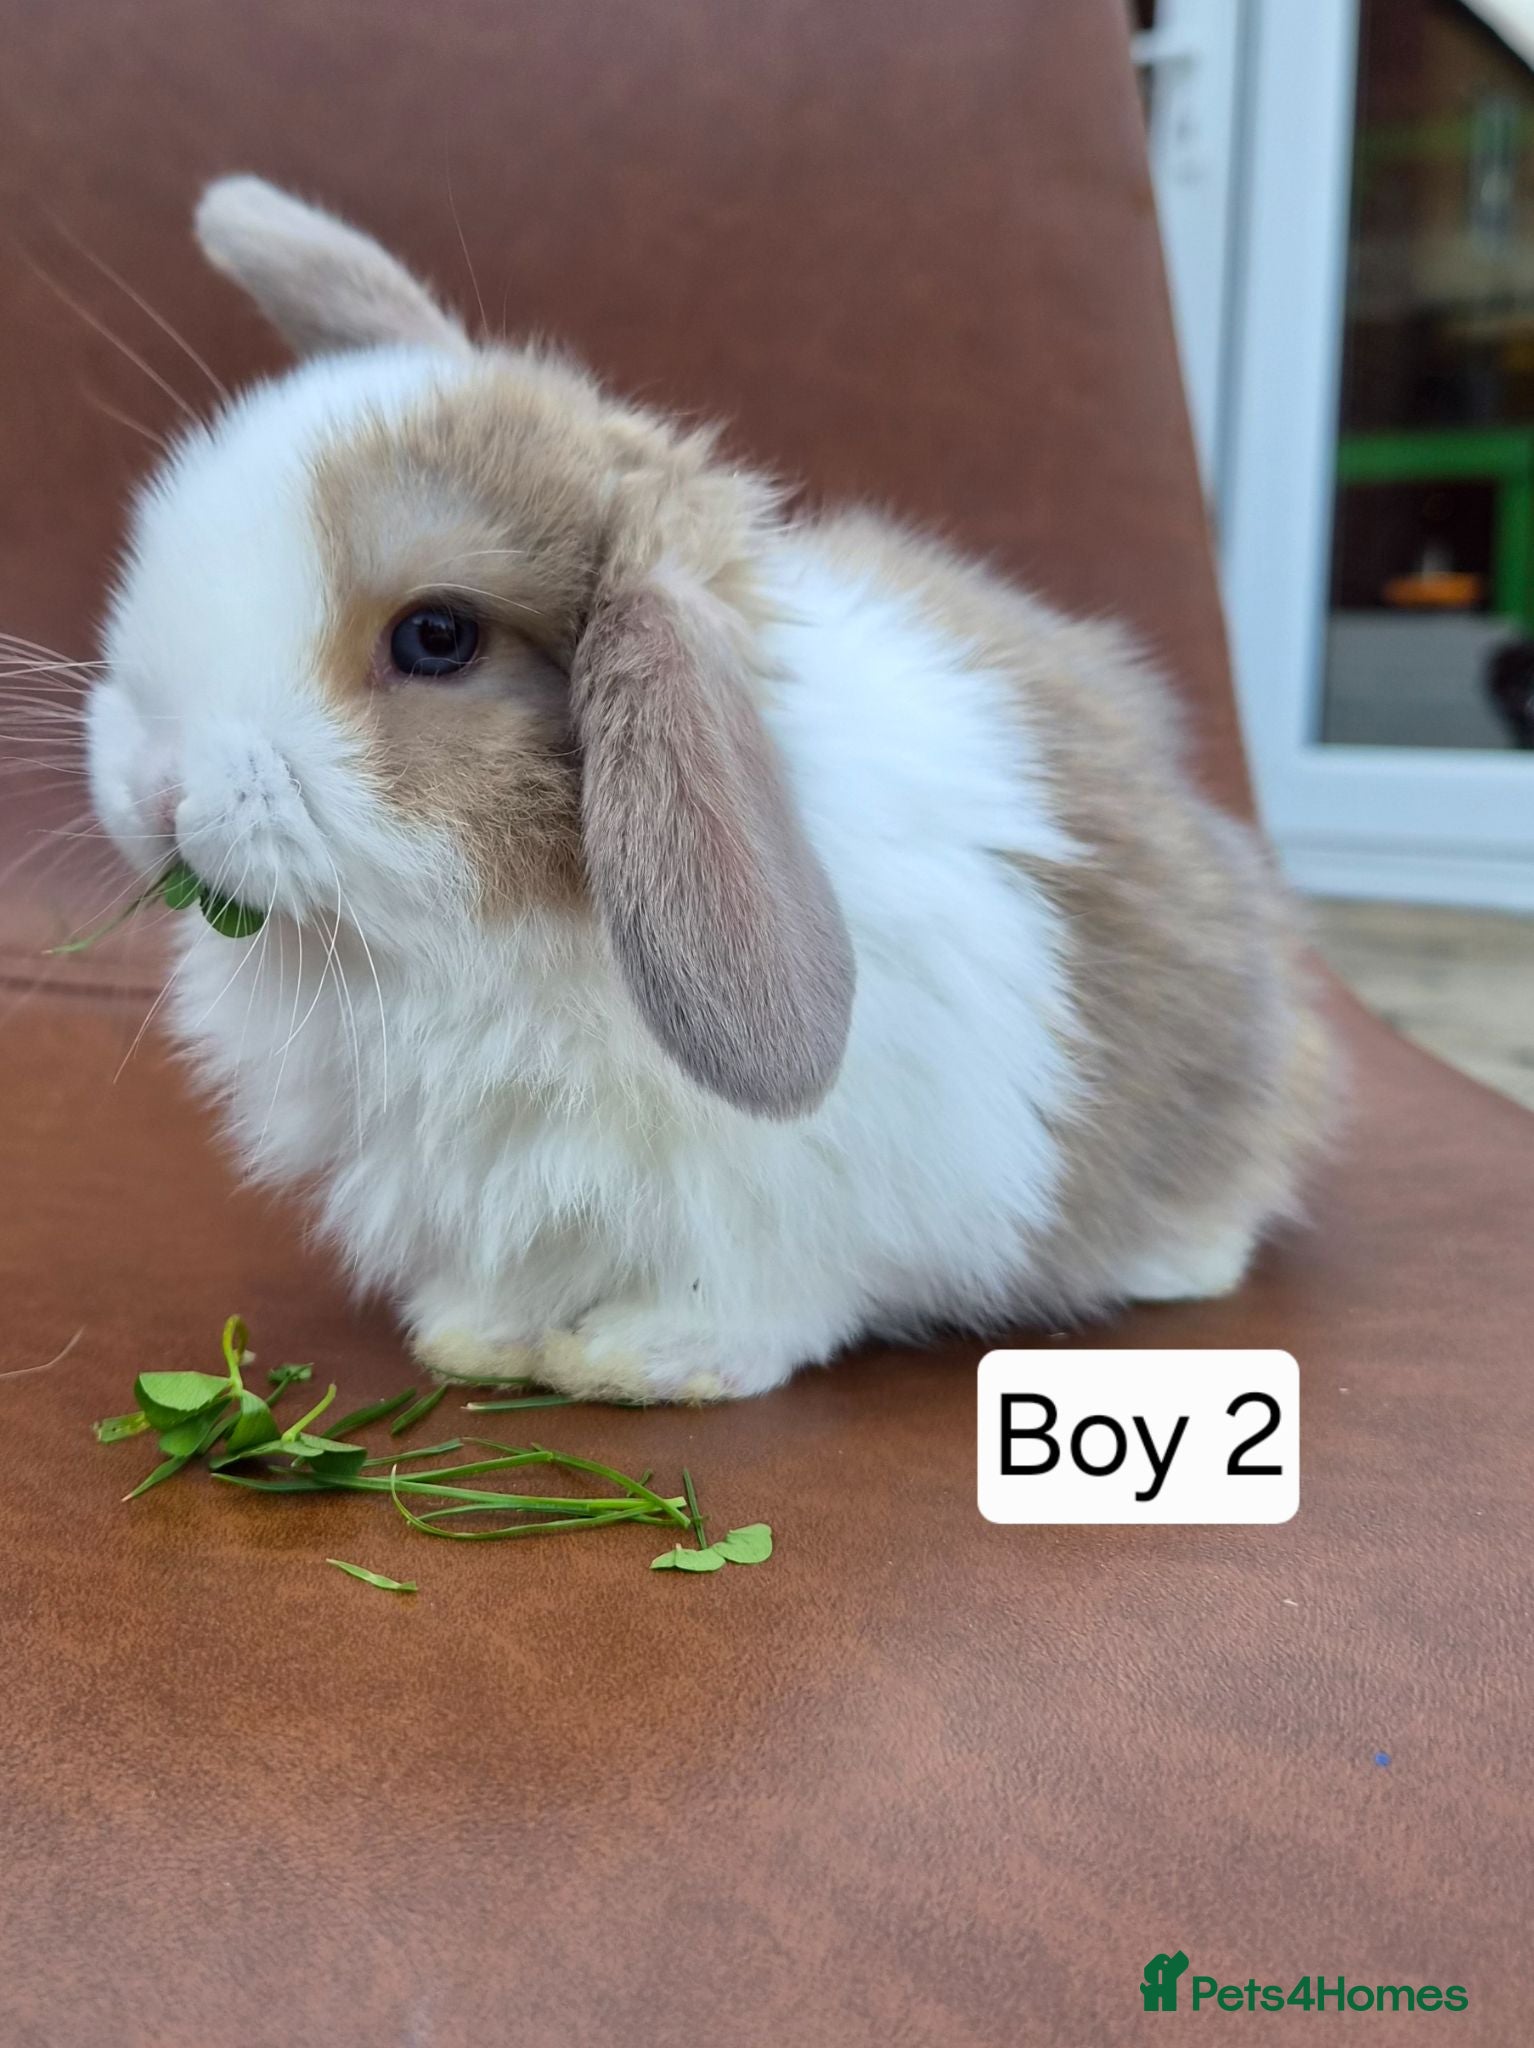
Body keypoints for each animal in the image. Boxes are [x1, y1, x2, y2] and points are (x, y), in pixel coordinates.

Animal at [84, 177, 1328, 1403]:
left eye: (436, 637)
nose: (156, 789)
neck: (491, 940)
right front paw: (472, 1335)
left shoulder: (790, 1209)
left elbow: (755, 1298)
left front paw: (635, 1359)